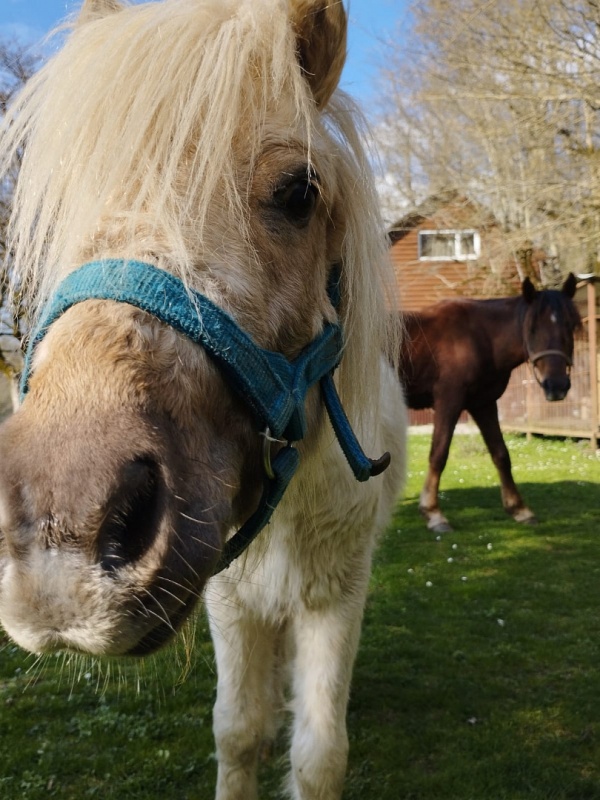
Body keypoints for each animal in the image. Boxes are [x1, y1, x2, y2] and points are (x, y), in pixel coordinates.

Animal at [0, 3, 408, 796]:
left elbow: (319, 755)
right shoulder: (231, 596)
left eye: (299, 193)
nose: (58, 526)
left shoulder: (336, 592)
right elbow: (239, 731)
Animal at [400, 276, 580, 532]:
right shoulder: (448, 401)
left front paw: (519, 510)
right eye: (532, 328)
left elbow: (501, 454)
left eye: (571, 326)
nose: (556, 386)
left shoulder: (483, 404)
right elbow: (438, 454)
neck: (479, 337)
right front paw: (433, 513)